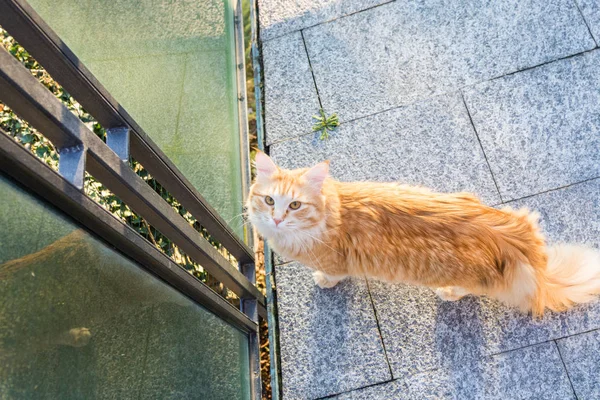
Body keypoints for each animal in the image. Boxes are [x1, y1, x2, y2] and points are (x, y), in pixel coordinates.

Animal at [247, 152, 600, 318]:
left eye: (294, 205)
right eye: (269, 200)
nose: (276, 219)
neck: (332, 212)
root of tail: (515, 238)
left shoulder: (336, 262)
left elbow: (333, 275)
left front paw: (323, 280)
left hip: (463, 275)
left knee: (468, 289)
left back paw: (448, 292)